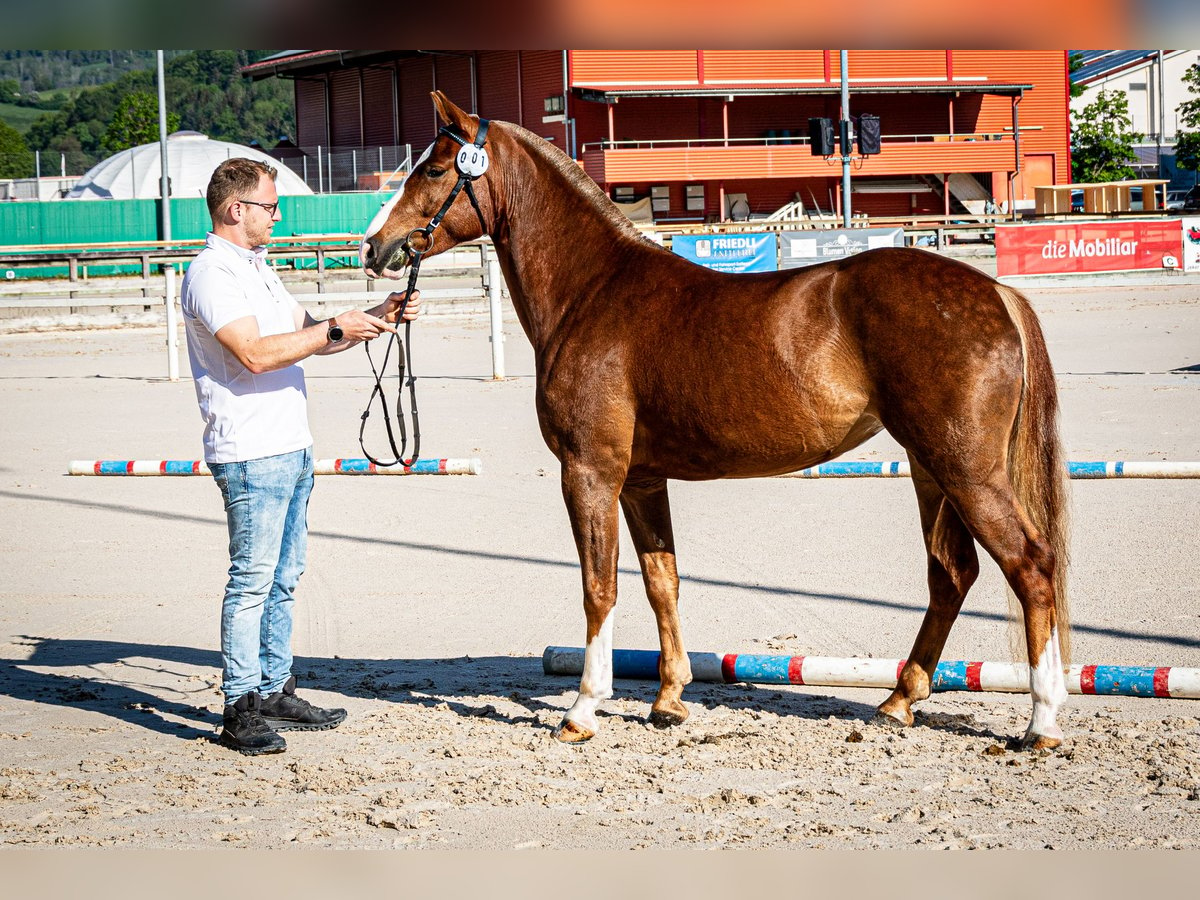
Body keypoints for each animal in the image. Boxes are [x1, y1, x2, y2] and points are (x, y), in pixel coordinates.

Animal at [360, 93, 1075, 753]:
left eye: (434, 169)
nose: (374, 247)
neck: (592, 291)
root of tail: (997, 293)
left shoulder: (590, 472)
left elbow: (599, 588)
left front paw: (584, 709)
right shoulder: (641, 481)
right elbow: (661, 582)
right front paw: (669, 699)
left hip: (966, 470)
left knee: (1030, 564)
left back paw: (1042, 720)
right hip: (932, 471)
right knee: (951, 574)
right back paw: (899, 700)